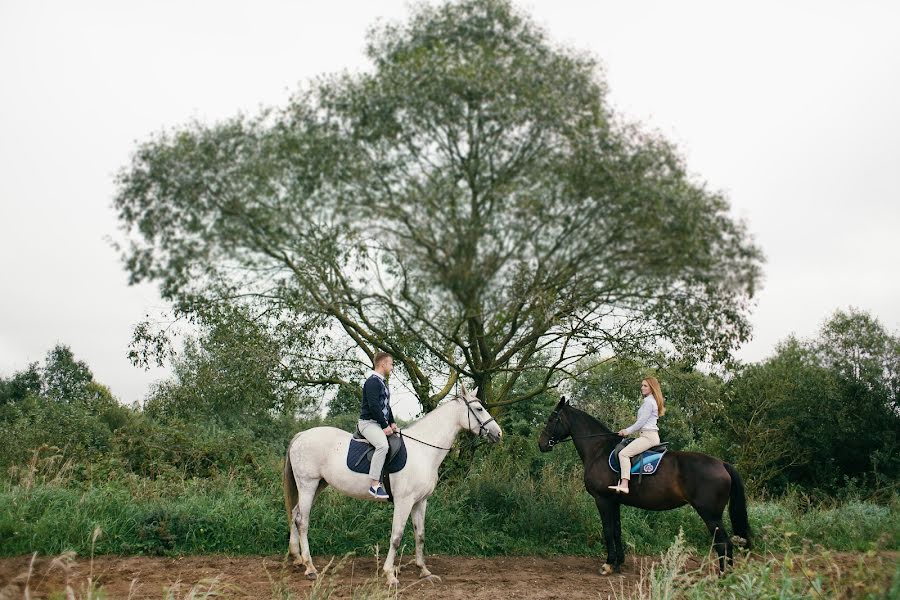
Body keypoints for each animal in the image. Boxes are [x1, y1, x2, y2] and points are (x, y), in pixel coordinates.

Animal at [284, 384, 500, 584]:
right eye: (479, 408)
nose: (498, 434)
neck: (423, 450)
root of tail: (301, 435)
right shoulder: (404, 501)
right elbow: (396, 536)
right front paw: (389, 574)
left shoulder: (420, 501)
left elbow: (420, 535)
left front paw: (424, 571)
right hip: (308, 484)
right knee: (302, 521)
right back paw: (310, 567)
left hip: (319, 485)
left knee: (295, 514)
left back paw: (297, 558)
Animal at [536, 398, 748, 572]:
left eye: (551, 419)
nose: (541, 444)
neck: (599, 450)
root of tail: (722, 463)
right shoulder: (614, 501)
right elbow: (617, 530)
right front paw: (618, 563)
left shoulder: (602, 500)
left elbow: (607, 530)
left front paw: (608, 563)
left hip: (711, 515)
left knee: (724, 544)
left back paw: (723, 577)